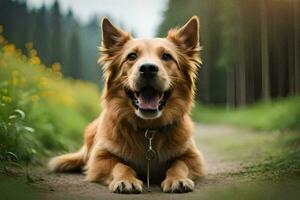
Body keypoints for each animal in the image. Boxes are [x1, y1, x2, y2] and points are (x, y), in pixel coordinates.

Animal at [48, 16, 204, 194]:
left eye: (166, 56)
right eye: (131, 56)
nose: (148, 69)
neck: (148, 130)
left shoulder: (193, 156)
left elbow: (179, 164)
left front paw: (177, 179)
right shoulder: (100, 158)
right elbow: (120, 165)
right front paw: (126, 180)